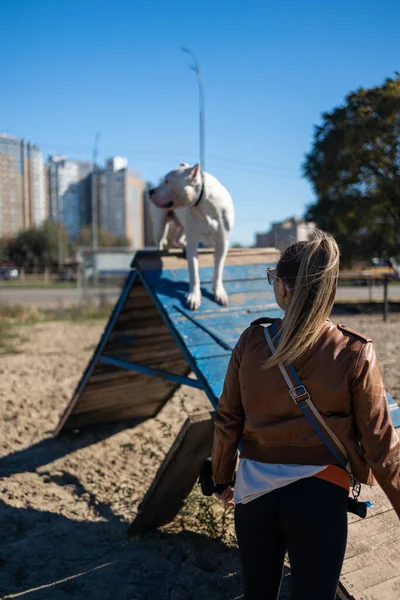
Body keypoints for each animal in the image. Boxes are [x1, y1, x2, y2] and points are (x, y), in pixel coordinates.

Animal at [148, 164, 233, 312]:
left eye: (167, 181)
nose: (150, 191)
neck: (204, 204)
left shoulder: (222, 242)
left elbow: (218, 269)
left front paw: (218, 292)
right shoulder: (193, 242)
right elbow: (194, 272)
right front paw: (194, 296)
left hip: (183, 227)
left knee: (177, 239)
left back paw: (182, 248)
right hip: (160, 226)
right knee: (160, 241)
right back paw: (161, 251)